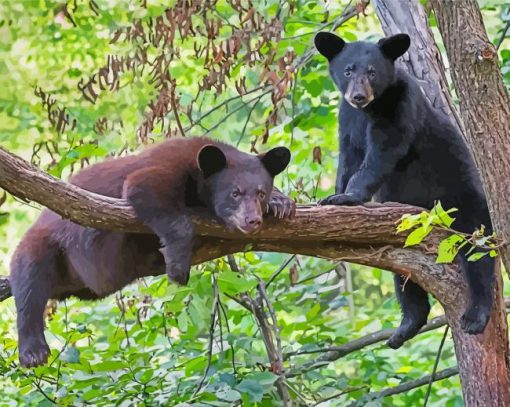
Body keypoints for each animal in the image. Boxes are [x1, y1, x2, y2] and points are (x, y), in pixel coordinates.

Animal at [8, 135, 294, 368]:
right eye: (235, 193)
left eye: (261, 193)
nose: (252, 220)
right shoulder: (166, 167)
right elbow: (143, 187)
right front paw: (178, 266)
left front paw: (281, 203)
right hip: (43, 244)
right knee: (29, 284)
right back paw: (33, 351)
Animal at [314, 32, 494, 348]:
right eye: (348, 70)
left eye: (372, 71)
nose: (358, 96)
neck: (369, 109)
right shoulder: (347, 120)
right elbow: (348, 158)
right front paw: (335, 194)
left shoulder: (399, 106)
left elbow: (383, 151)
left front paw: (347, 196)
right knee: (405, 273)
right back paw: (406, 325)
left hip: (465, 204)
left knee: (477, 255)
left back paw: (476, 315)